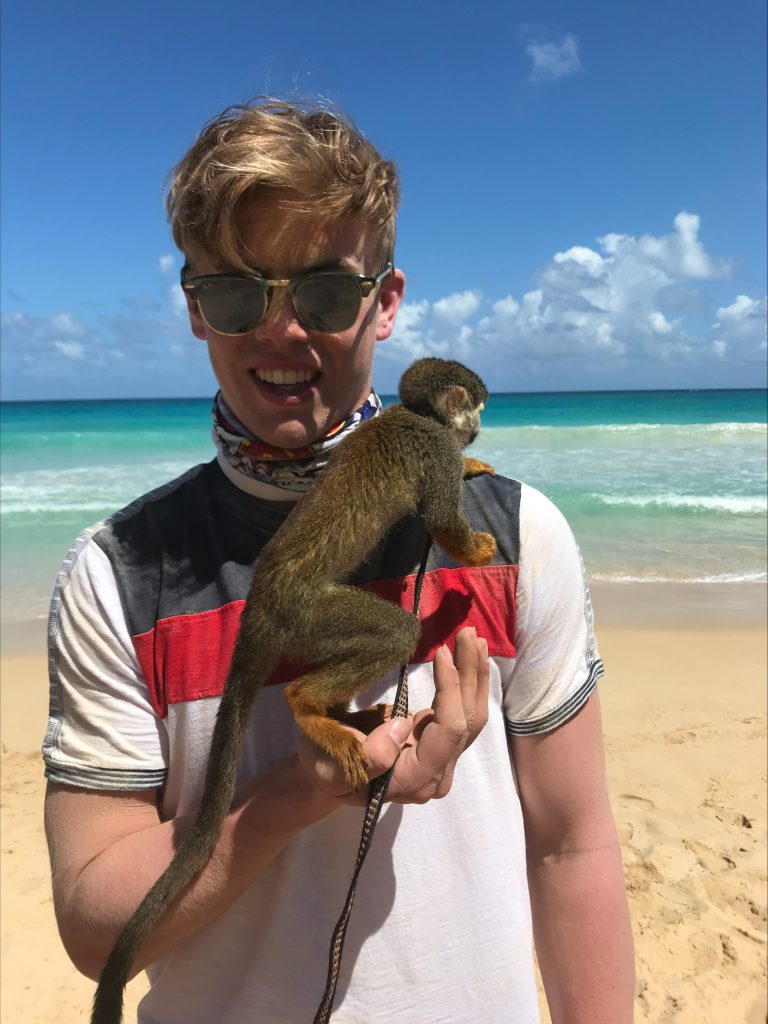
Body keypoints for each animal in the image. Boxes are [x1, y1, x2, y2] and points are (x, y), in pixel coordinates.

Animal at [91, 357, 496, 1024]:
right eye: (478, 408)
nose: (480, 430)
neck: (418, 415)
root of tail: (259, 604)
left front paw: (475, 468)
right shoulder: (432, 447)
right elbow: (441, 519)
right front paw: (477, 543)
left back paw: (340, 714)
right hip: (309, 616)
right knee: (393, 631)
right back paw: (310, 708)